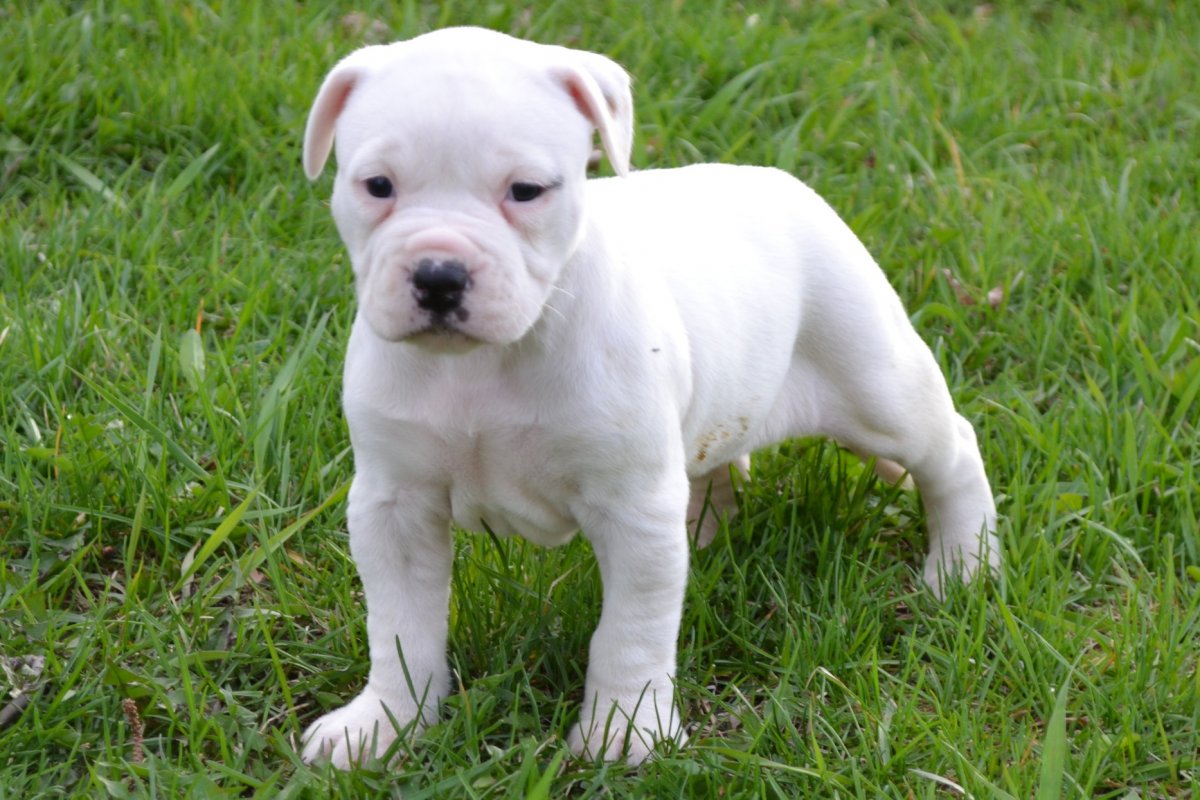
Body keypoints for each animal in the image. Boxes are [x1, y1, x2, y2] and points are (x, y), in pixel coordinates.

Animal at [302, 28, 1003, 767]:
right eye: (378, 186)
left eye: (526, 191)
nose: (439, 275)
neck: (486, 363)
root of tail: (778, 182)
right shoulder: (394, 506)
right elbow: (400, 626)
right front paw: (384, 723)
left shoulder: (632, 510)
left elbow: (630, 630)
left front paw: (622, 731)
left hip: (876, 383)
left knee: (951, 450)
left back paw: (963, 566)